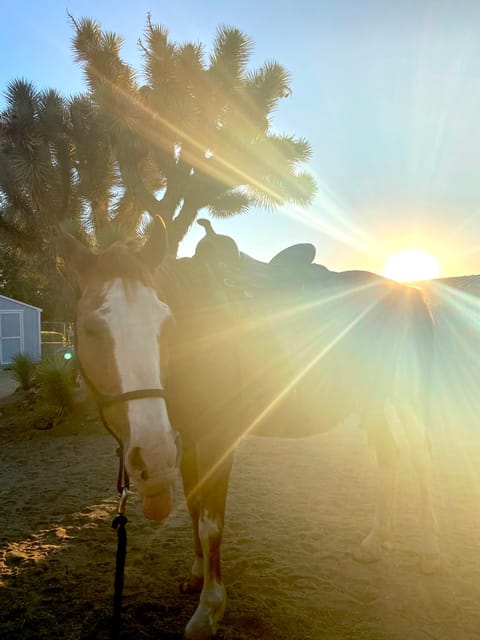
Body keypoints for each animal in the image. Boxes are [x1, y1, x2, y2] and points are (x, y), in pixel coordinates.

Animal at [60, 216, 438, 640]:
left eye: (167, 323)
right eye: (90, 329)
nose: (150, 456)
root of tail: (408, 291)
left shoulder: (216, 439)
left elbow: (211, 524)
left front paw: (209, 608)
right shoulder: (186, 441)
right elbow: (194, 508)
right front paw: (196, 574)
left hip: (407, 397)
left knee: (422, 461)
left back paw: (428, 550)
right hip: (369, 400)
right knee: (389, 456)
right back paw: (376, 540)